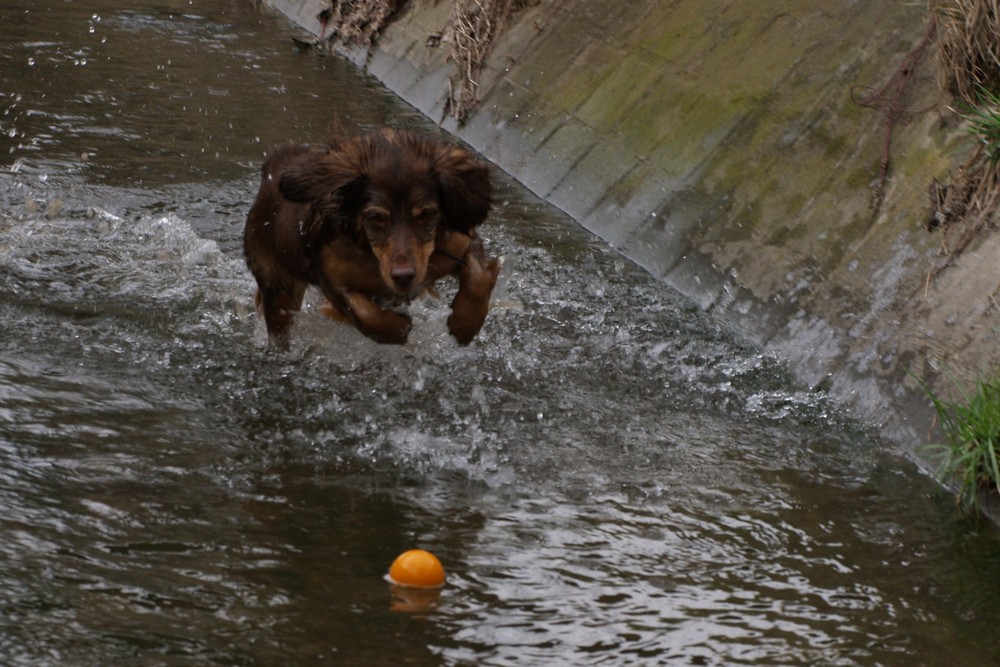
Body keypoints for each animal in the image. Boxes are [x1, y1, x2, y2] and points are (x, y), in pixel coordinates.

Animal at [243, 132, 500, 350]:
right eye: (376, 217)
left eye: (426, 214)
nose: (404, 276)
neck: (373, 256)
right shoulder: (332, 279)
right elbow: (364, 313)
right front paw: (400, 328)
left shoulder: (458, 244)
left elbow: (478, 277)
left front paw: (465, 323)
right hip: (278, 286)